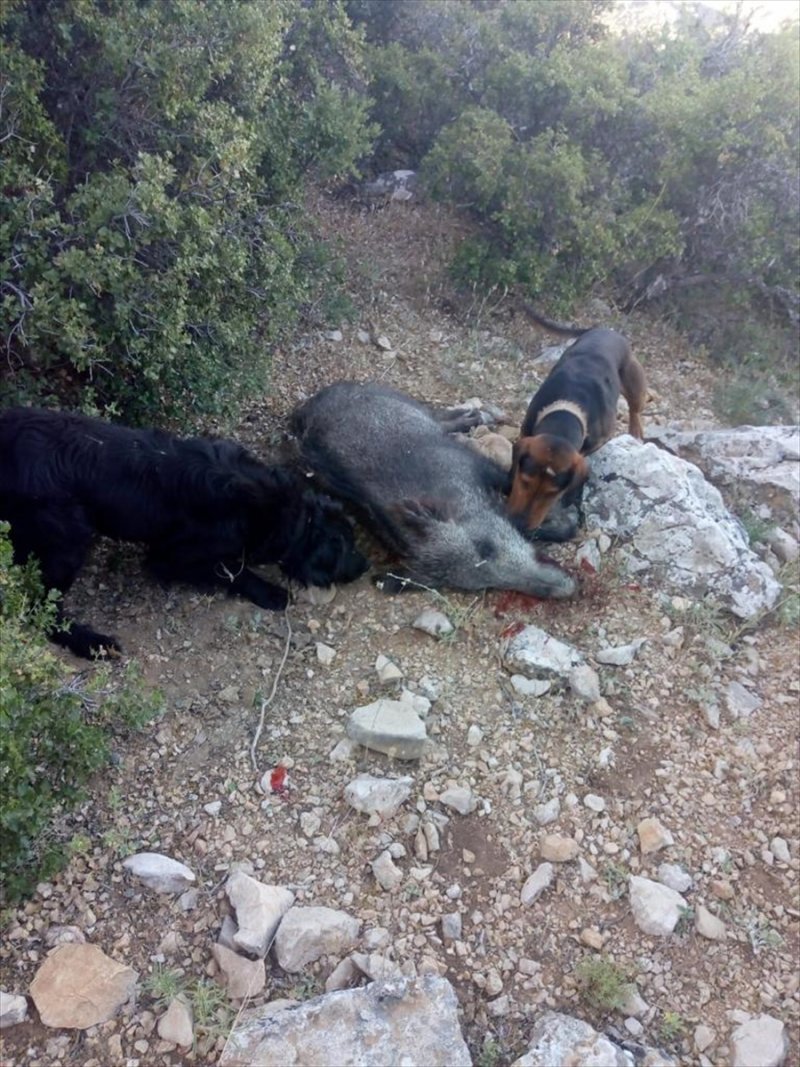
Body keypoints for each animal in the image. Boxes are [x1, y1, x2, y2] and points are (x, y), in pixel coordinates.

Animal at [0, 407, 369, 657]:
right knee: (39, 608)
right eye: (345, 551)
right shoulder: (169, 556)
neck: (283, 509)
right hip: (69, 540)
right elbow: (233, 572)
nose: (366, 565)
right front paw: (269, 592)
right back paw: (93, 643)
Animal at [509, 309, 648, 533]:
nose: (520, 525)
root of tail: (606, 330)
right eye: (524, 480)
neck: (566, 413)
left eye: (552, 493)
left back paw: (636, 431)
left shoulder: (598, 441)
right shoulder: (526, 431)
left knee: (635, 410)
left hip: (635, 382)